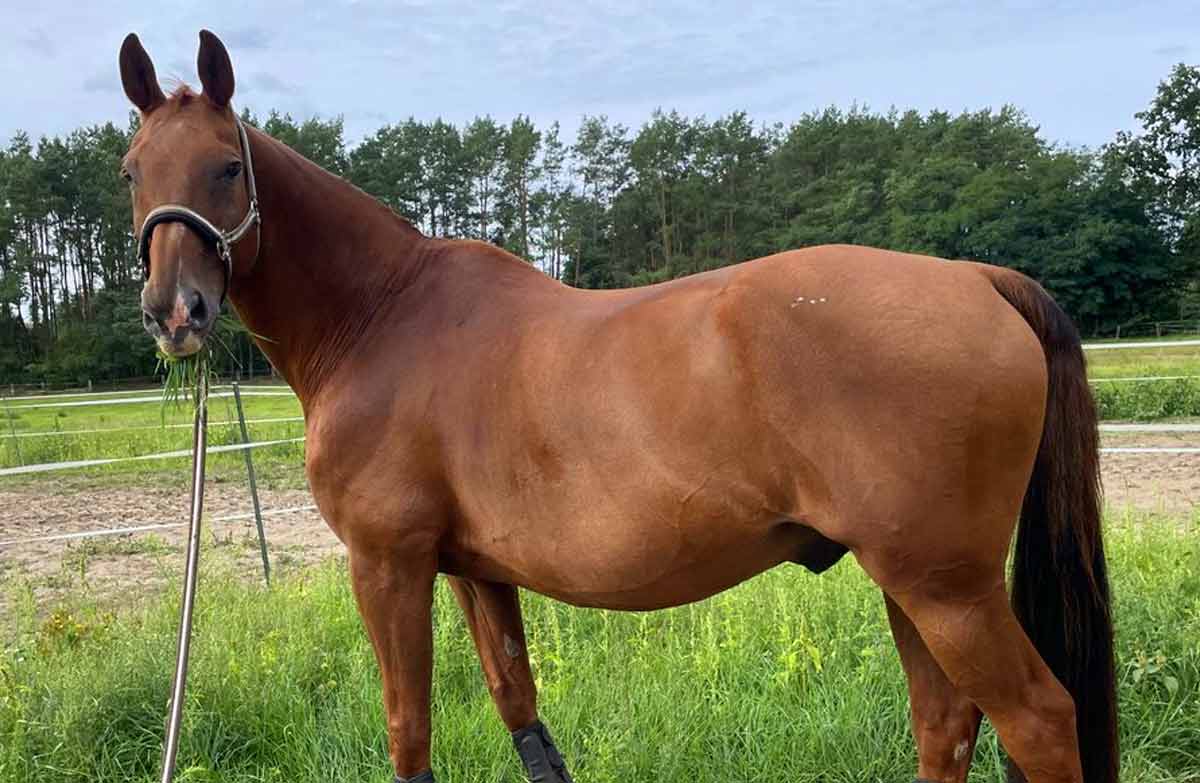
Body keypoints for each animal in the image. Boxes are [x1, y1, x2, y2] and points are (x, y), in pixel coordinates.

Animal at [119, 30, 1117, 783]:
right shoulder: (475, 570)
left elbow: (410, 735)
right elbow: (521, 712)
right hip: (913, 584)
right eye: (132, 169)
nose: (176, 313)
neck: (382, 316)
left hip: (947, 589)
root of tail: (975, 277)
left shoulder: (388, 565)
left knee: (1037, 719)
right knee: (945, 722)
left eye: (227, 167)